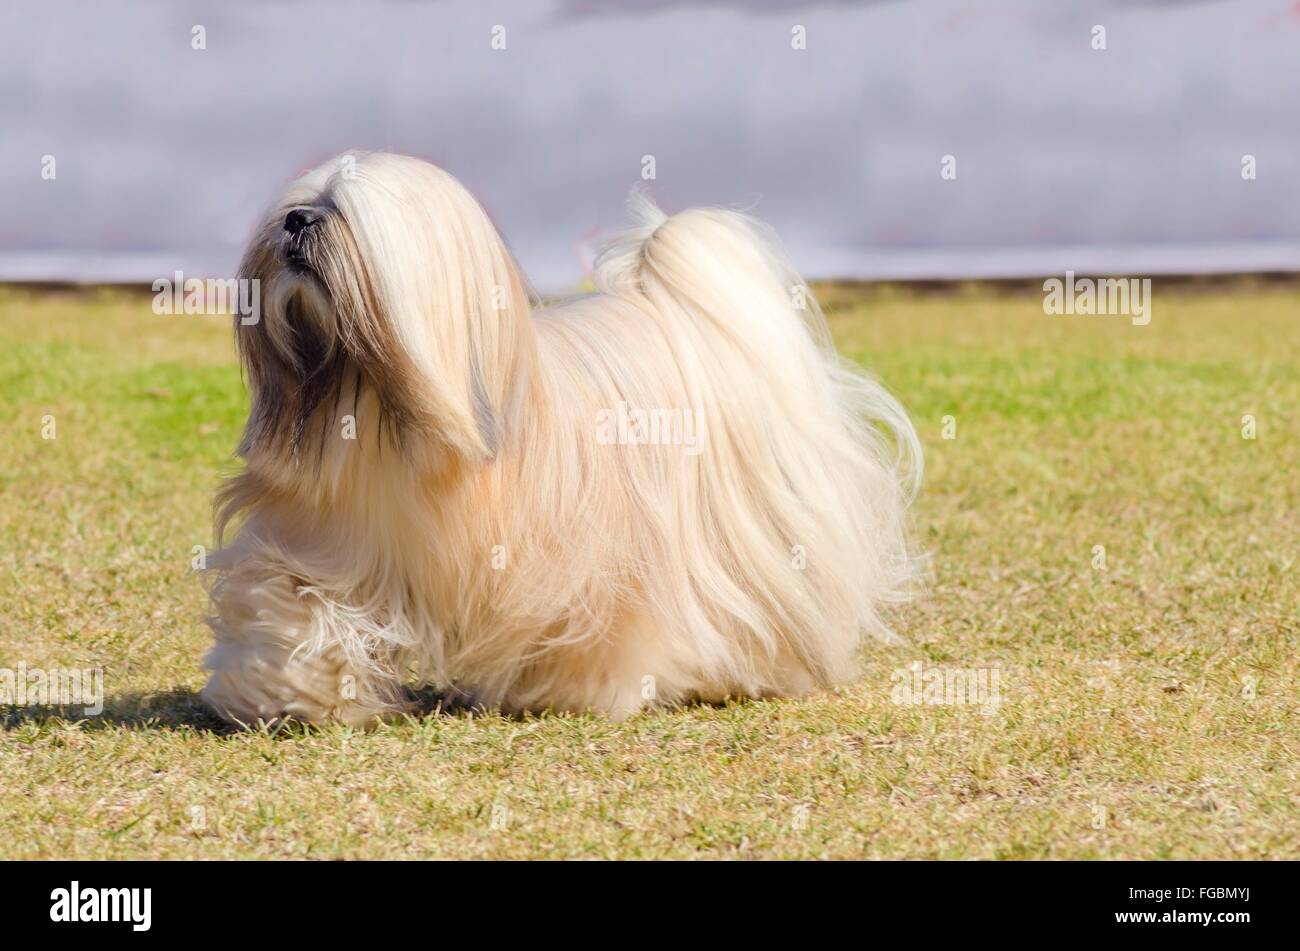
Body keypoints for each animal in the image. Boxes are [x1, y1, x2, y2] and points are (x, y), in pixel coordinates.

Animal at [197, 152, 920, 722]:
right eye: (297, 206)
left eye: (338, 212)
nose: (295, 221)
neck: (379, 407)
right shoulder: (318, 538)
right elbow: (288, 606)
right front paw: (286, 694)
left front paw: (579, 690)